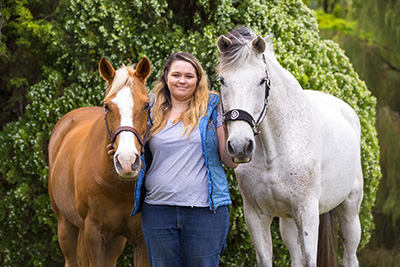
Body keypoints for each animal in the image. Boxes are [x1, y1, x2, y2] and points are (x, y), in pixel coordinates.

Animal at [48, 57, 151, 267]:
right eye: (107, 106)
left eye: (146, 105)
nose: (127, 161)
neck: (119, 188)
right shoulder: (94, 234)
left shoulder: (142, 240)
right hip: (66, 227)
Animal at [217, 27, 364, 267]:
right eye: (222, 80)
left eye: (262, 80)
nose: (240, 146)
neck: (275, 152)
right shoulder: (256, 216)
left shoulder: (307, 213)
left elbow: (310, 259)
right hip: (288, 222)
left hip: (350, 212)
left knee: (350, 255)